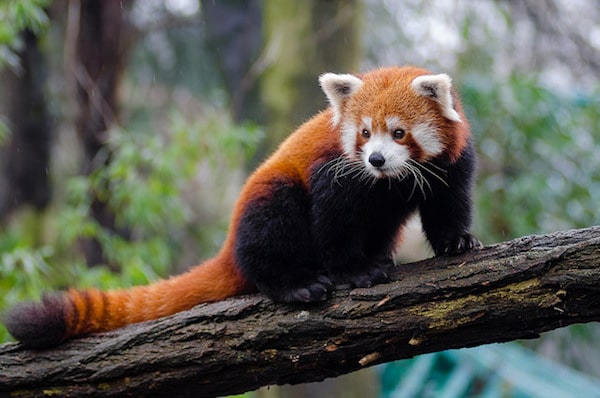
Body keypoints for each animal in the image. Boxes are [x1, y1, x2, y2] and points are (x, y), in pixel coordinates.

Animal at [2, 64, 480, 346]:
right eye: (364, 133)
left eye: (398, 133)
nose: (376, 159)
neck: (389, 182)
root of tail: (229, 245)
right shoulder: (336, 171)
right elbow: (334, 222)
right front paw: (355, 270)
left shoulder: (451, 162)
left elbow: (448, 203)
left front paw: (456, 241)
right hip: (267, 200)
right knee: (272, 227)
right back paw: (294, 284)